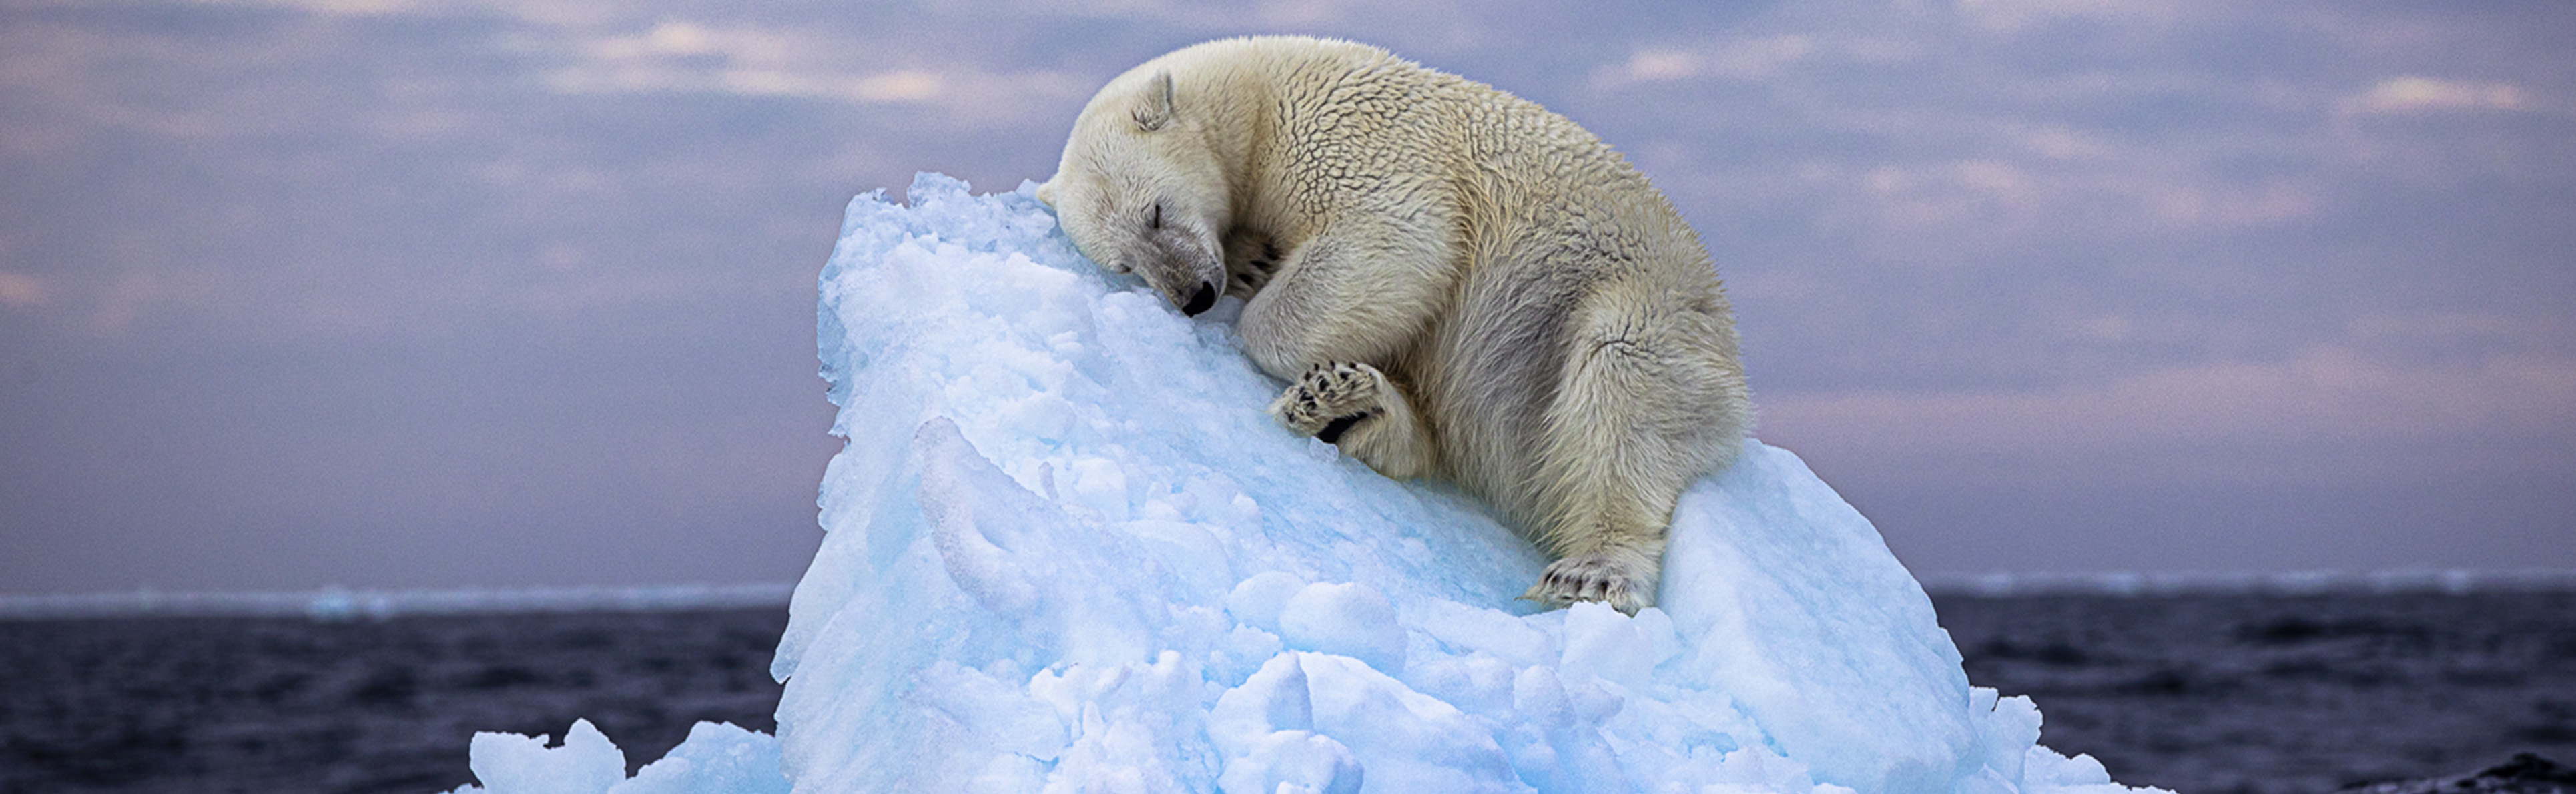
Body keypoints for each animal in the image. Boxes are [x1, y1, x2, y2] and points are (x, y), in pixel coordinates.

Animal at [1037, 36, 1751, 614]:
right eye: (1126, 264)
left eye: (1155, 212)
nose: (1193, 295)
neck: (1257, 96)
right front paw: (1254, 263)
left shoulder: (1349, 133)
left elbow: (1398, 237)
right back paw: (1347, 406)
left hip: (1626, 304)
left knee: (1621, 393)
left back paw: (1592, 572)